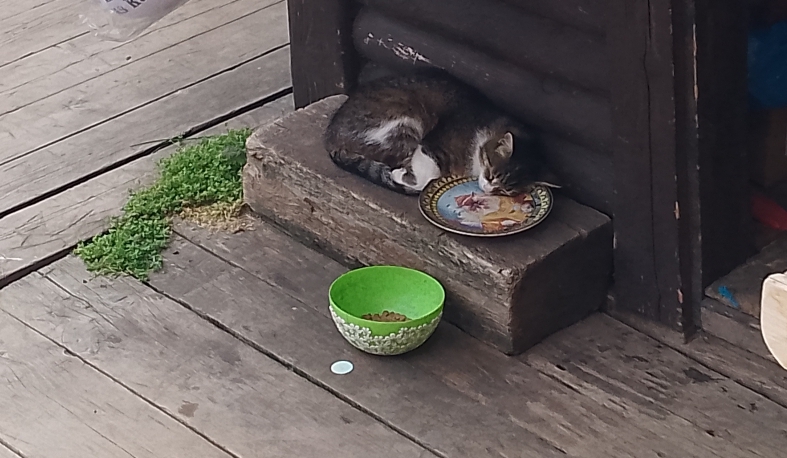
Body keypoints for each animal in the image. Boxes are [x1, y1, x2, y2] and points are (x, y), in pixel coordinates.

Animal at [324, 70, 552, 196]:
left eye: (505, 191)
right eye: (490, 172)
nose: (488, 188)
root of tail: (330, 138)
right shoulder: (431, 144)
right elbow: (428, 174)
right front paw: (400, 175)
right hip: (402, 124)